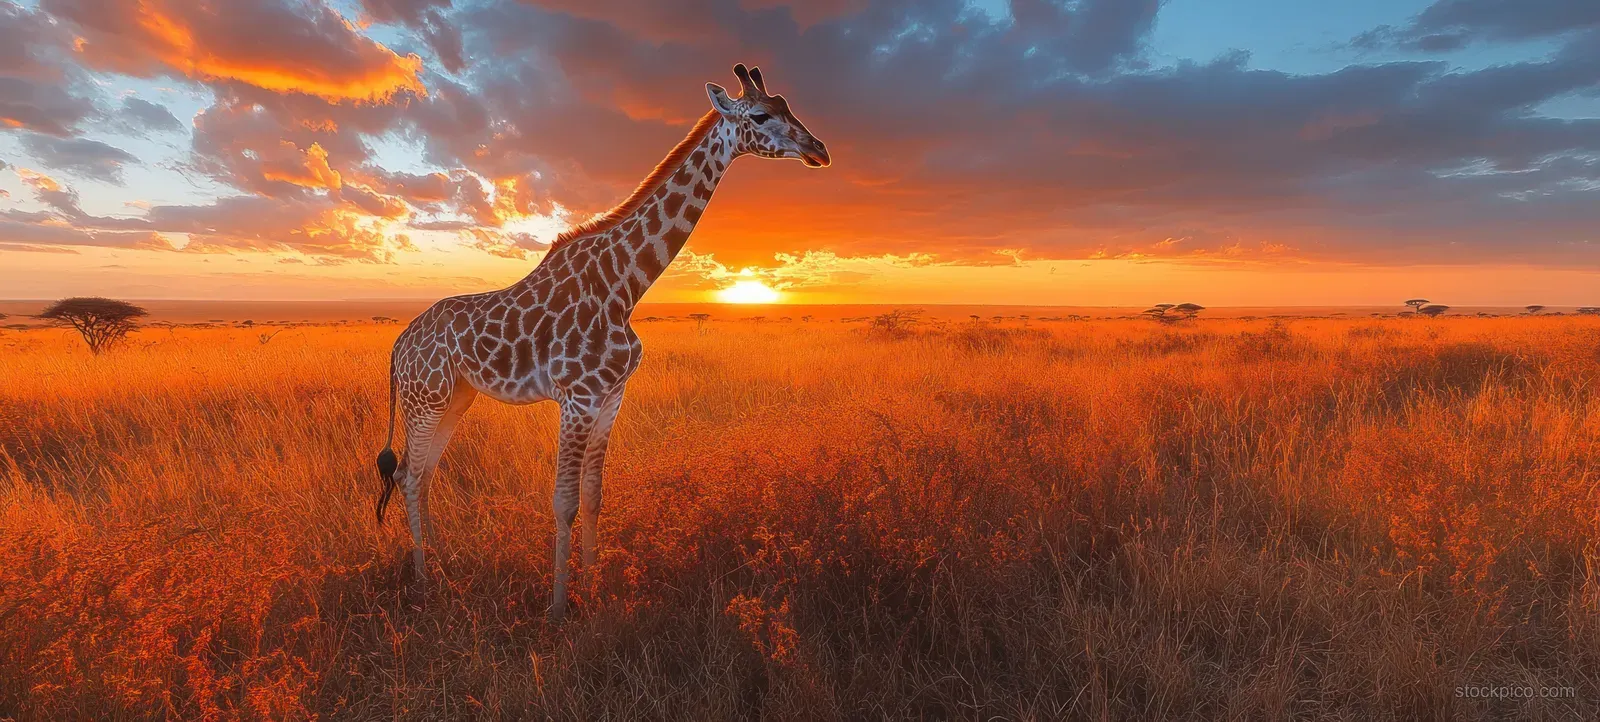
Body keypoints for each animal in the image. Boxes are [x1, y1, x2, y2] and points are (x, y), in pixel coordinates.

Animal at [374, 64, 829, 621]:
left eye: (789, 107)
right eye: (762, 116)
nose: (819, 149)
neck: (625, 286)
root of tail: (398, 345)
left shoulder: (612, 395)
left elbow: (593, 496)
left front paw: (594, 585)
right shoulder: (578, 397)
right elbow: (564, 502)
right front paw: (557, 609)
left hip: (456, 398)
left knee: (425, 474)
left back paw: (443, 561)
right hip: (426, 398)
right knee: (407, 476)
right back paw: (424, 580)